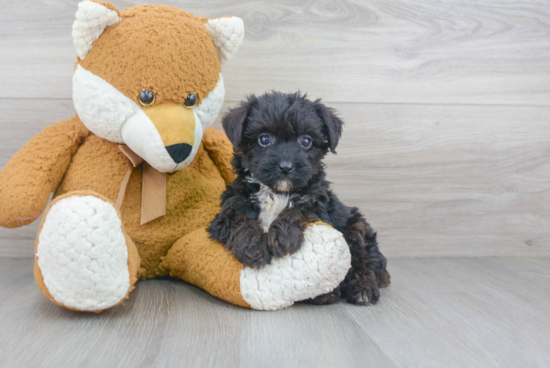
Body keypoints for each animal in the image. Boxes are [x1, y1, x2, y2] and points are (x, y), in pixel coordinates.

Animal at [208, 91, 392, 304]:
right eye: (264, 139)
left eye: (306, 141)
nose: (286, 166)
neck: (277, 192)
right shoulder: (231, 206)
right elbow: (239, 219)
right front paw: (253, 247)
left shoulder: (318, 204)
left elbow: (298, 210)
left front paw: (282, 237)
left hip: (356, 227)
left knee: (363, 260)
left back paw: (360, 289)